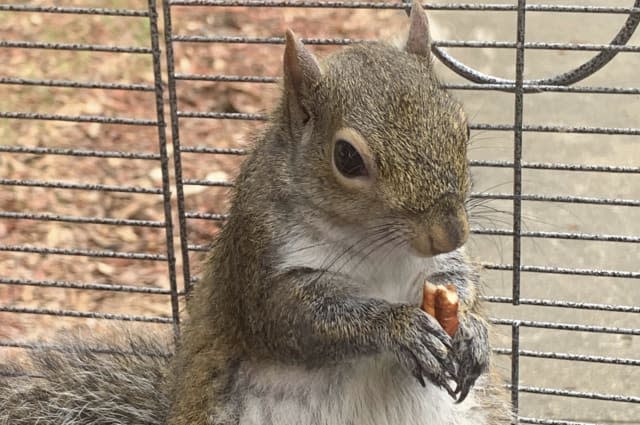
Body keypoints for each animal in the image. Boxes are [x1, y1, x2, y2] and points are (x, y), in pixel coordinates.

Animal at [0, 4, 510, 424]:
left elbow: (458, 280)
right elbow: (291, 317)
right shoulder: (258, 253)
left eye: (463, 128)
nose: (449, 232)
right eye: (346, 158)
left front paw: (472, 329)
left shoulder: (438, 268)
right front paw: (399, 328)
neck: (376, 246)